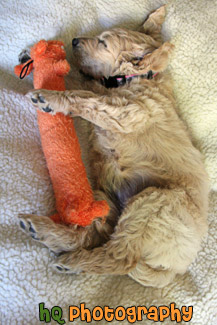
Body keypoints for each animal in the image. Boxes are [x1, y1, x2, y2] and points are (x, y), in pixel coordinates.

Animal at [18, 6, 209, 286]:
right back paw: (45, 232)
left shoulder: (126, 112)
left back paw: (72, 261)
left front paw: (50, 97)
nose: (73, 41)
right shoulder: (104, 88)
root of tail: (174, 269)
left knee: (119, 257)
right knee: (91, 236)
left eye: (103, 43)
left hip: (153, 204)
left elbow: (85, 98)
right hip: (105, 198)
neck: (132, 79)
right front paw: (34, 58)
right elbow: (85, 85)